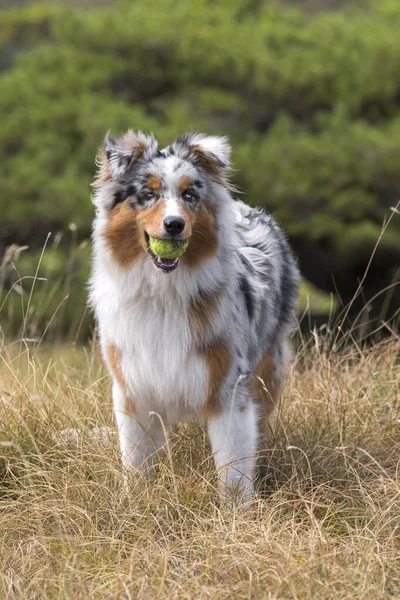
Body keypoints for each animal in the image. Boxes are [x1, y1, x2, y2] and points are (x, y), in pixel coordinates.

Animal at [89, 131, 298, 502]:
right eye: (148, 194)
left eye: (190, 195)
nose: (174, 225)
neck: (163, 291)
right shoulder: (132, 384)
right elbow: (137, 461)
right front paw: (137, 502)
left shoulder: (228, 383)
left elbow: (233, 465)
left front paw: (236, 511)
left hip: (268, 367)